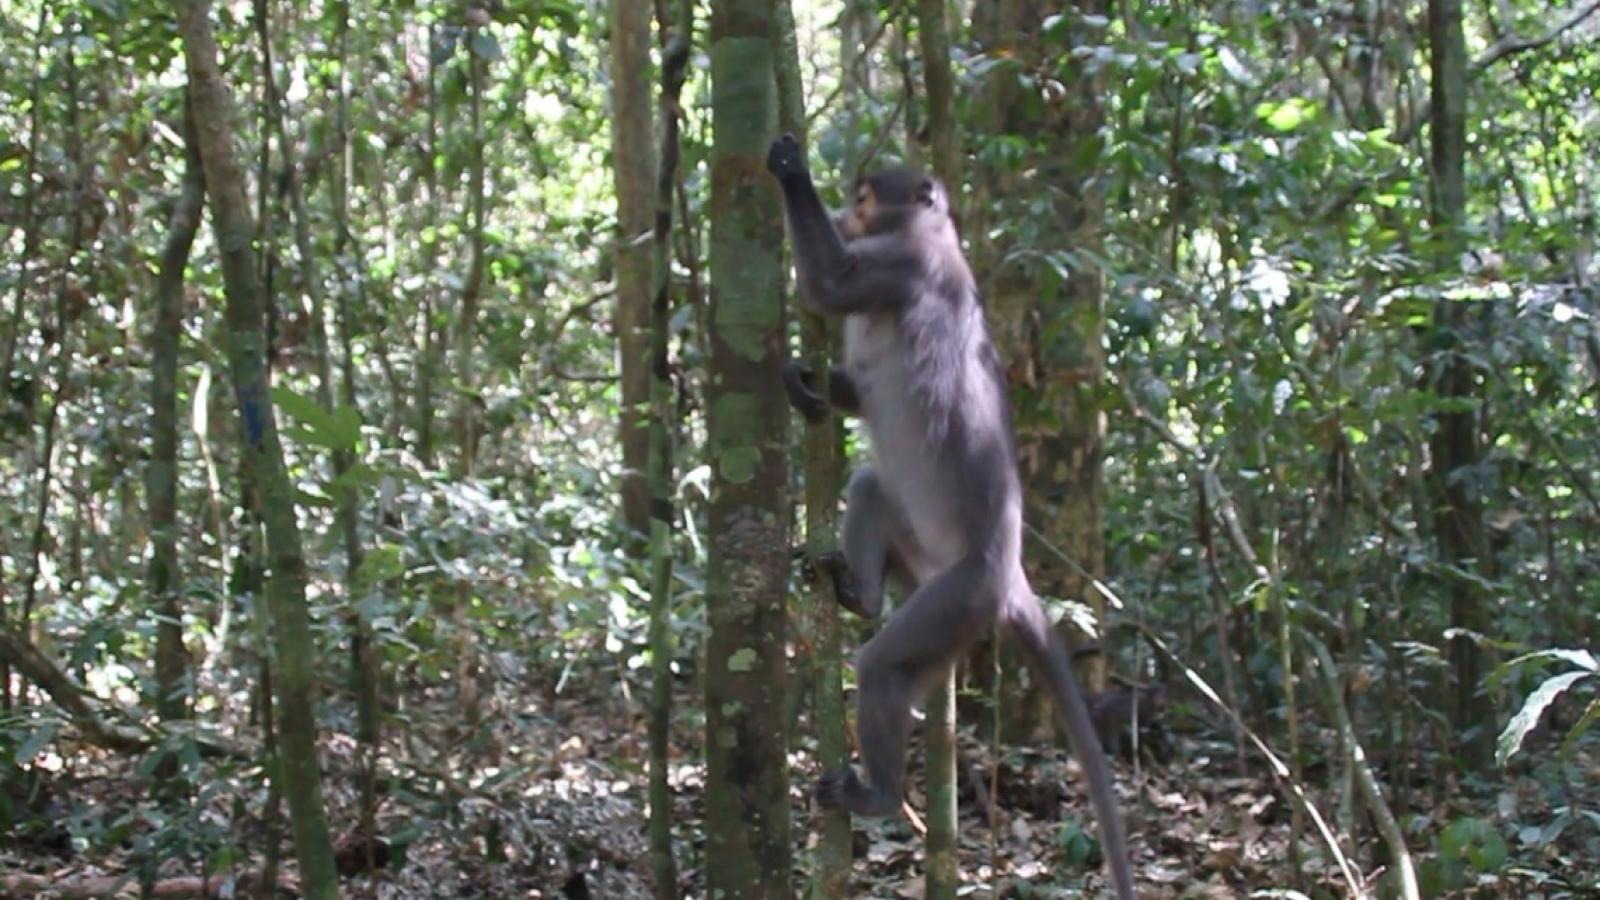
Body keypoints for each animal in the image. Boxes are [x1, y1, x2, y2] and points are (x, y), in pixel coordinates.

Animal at [767, 134, 1136, 899]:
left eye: (867, 195)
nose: (845, 211)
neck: (929, 232)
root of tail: (1011, 572)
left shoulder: (906, 266)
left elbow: (830, 284)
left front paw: (789, 166)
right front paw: (803, 381)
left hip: (959, 599)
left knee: (883, 664)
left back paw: (877, 794)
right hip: (928, 570)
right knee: (872, 481)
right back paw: (858, 592)